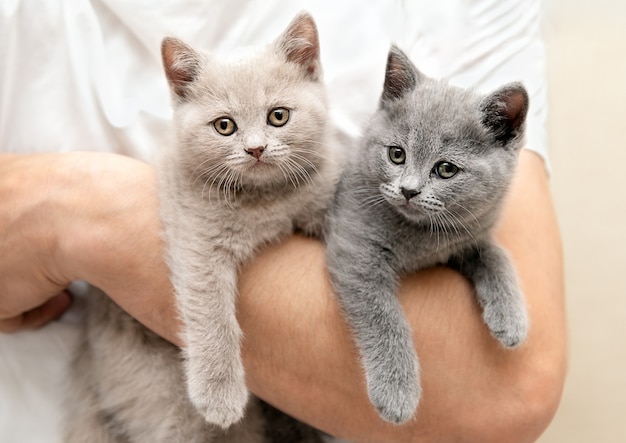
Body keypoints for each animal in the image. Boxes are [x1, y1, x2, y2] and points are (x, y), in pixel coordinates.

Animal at [63, 12, 336, 442]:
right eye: (225, 126)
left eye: (278, 116)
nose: (256, 149)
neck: (265, 201)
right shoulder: (197, 240)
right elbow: (211, 314)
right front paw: (219, 394)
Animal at [324, 46, 528, 424]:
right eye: (397, 154)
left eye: (446, 169)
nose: (408, 190)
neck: (422, 238)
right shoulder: (355, 249)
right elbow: (383, 314)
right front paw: (396, 393)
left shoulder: (466, 237)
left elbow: (496, 255)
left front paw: (511, 320)